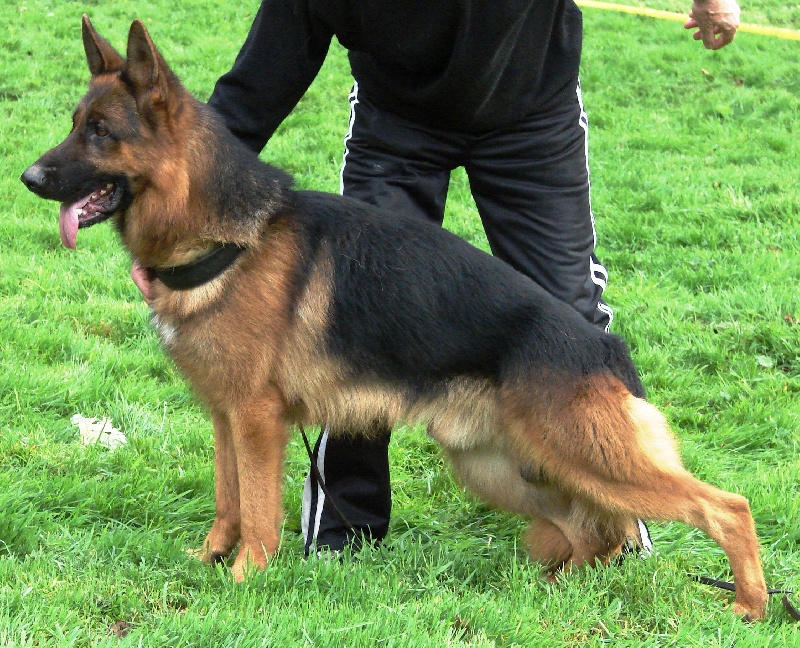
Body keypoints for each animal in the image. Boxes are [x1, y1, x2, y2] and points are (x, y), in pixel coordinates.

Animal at [20, 16, 768, 619]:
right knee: (595, 533)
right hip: (502, 466)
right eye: (75, 124)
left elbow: (257, 510)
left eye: (100, 133)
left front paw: (244, 581)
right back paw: (555, 591)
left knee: (724, 508)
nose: (28, 178)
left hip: (586, 457)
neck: (229, 234)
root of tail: (605, 347)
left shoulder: (257, 420)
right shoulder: (225, 416)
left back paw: (750, 607)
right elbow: (228, 500)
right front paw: (207, 562)